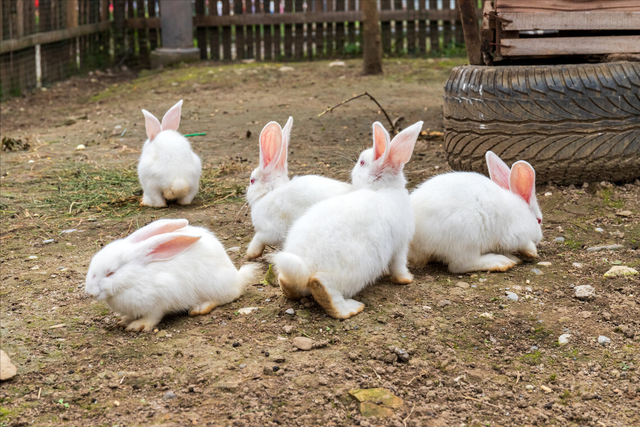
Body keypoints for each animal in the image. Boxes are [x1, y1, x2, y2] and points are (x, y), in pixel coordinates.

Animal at [85, 219, 260, 332]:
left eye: (111, 272)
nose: (90, 293)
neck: (134, 278)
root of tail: (237, 278)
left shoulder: (159, 300)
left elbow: (152, 317)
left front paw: (138, 326)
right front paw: (124, 321)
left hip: (213, 286)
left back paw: (199, 308)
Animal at [246, 115, 356, 260]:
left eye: (252, 181)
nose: (246, 194)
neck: (269, 193)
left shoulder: (269, 231)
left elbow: (258, 239)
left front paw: (251, 253)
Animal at [272, 120, 424, 318]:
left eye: (361, 162)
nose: (353, 168)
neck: (381, 189)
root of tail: (304, 269)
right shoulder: (400, 246)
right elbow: (398, 266)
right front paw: (406, 279)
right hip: (352, 271)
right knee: (324, 286)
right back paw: (350, 308)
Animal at [408, 151, 544, 274]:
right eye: (539, 220)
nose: (539, 239)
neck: (523, 213)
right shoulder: (515, 234)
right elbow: (525, 244)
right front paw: (532, 252)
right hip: (466, 239)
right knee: (461, 265)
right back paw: (501, 262)